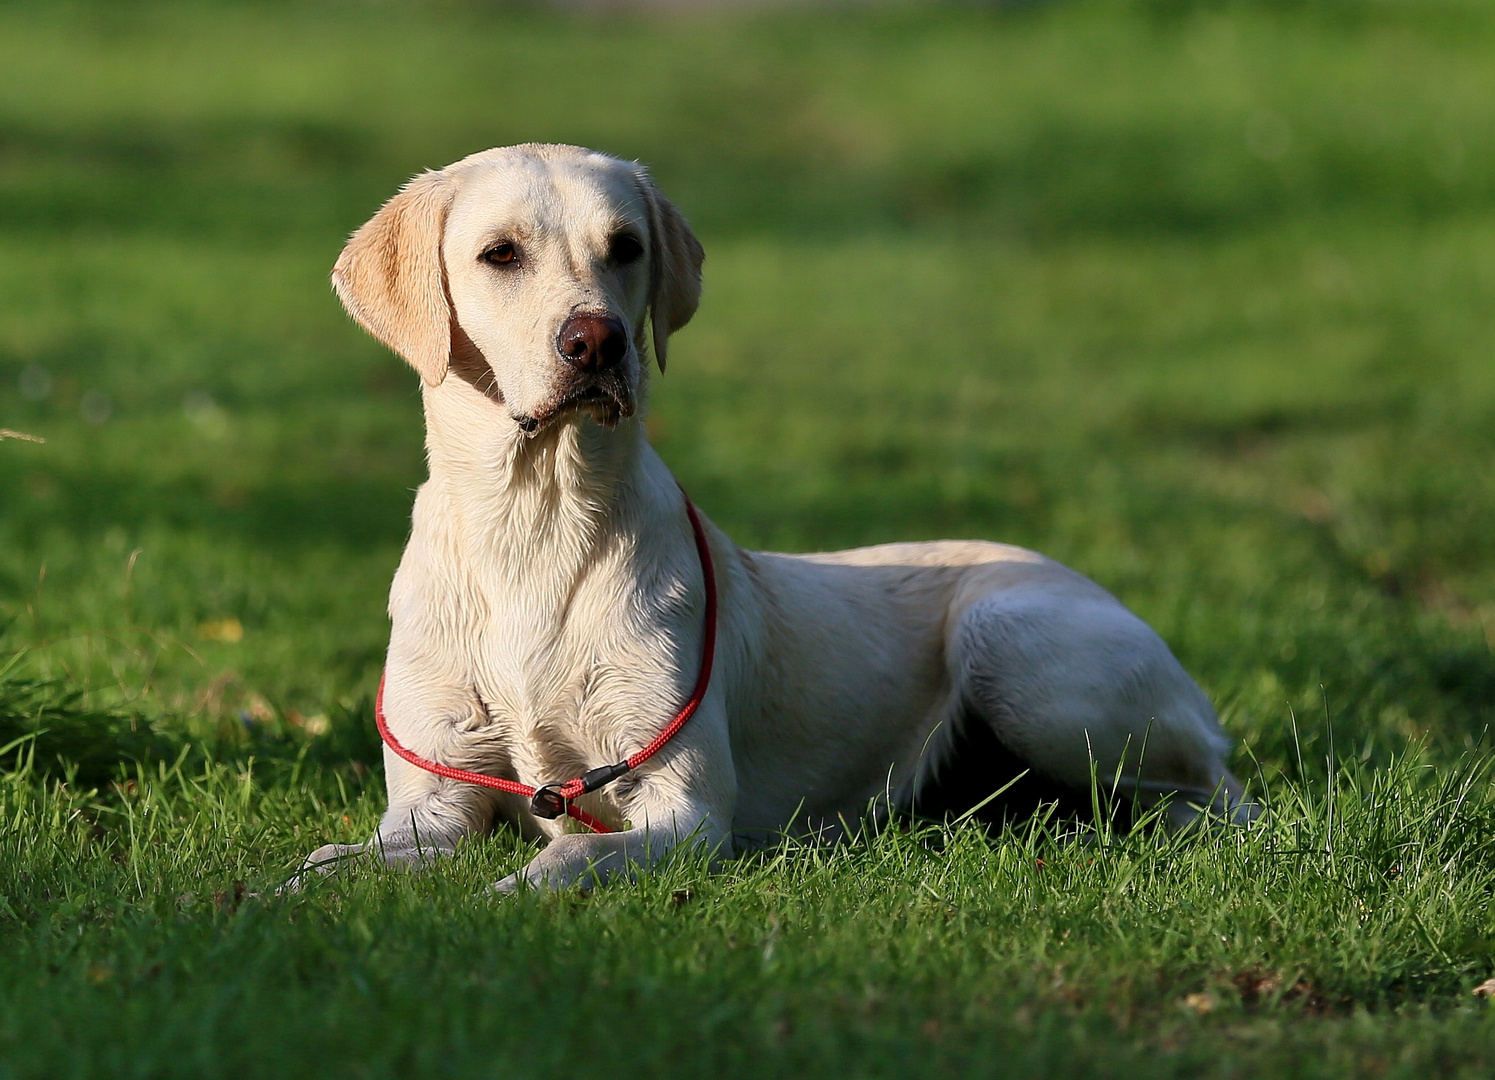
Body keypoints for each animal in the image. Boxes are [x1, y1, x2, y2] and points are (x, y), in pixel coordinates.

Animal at [300, 145, 1249, 891]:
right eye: (499, 254)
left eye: (625, 248)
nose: (597, 341)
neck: (532, 522)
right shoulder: (434, 799)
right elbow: (326, 862)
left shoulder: (683, 809)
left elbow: (570, 852)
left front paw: (516, 889)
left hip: (1016, 645)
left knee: (1222, 795)